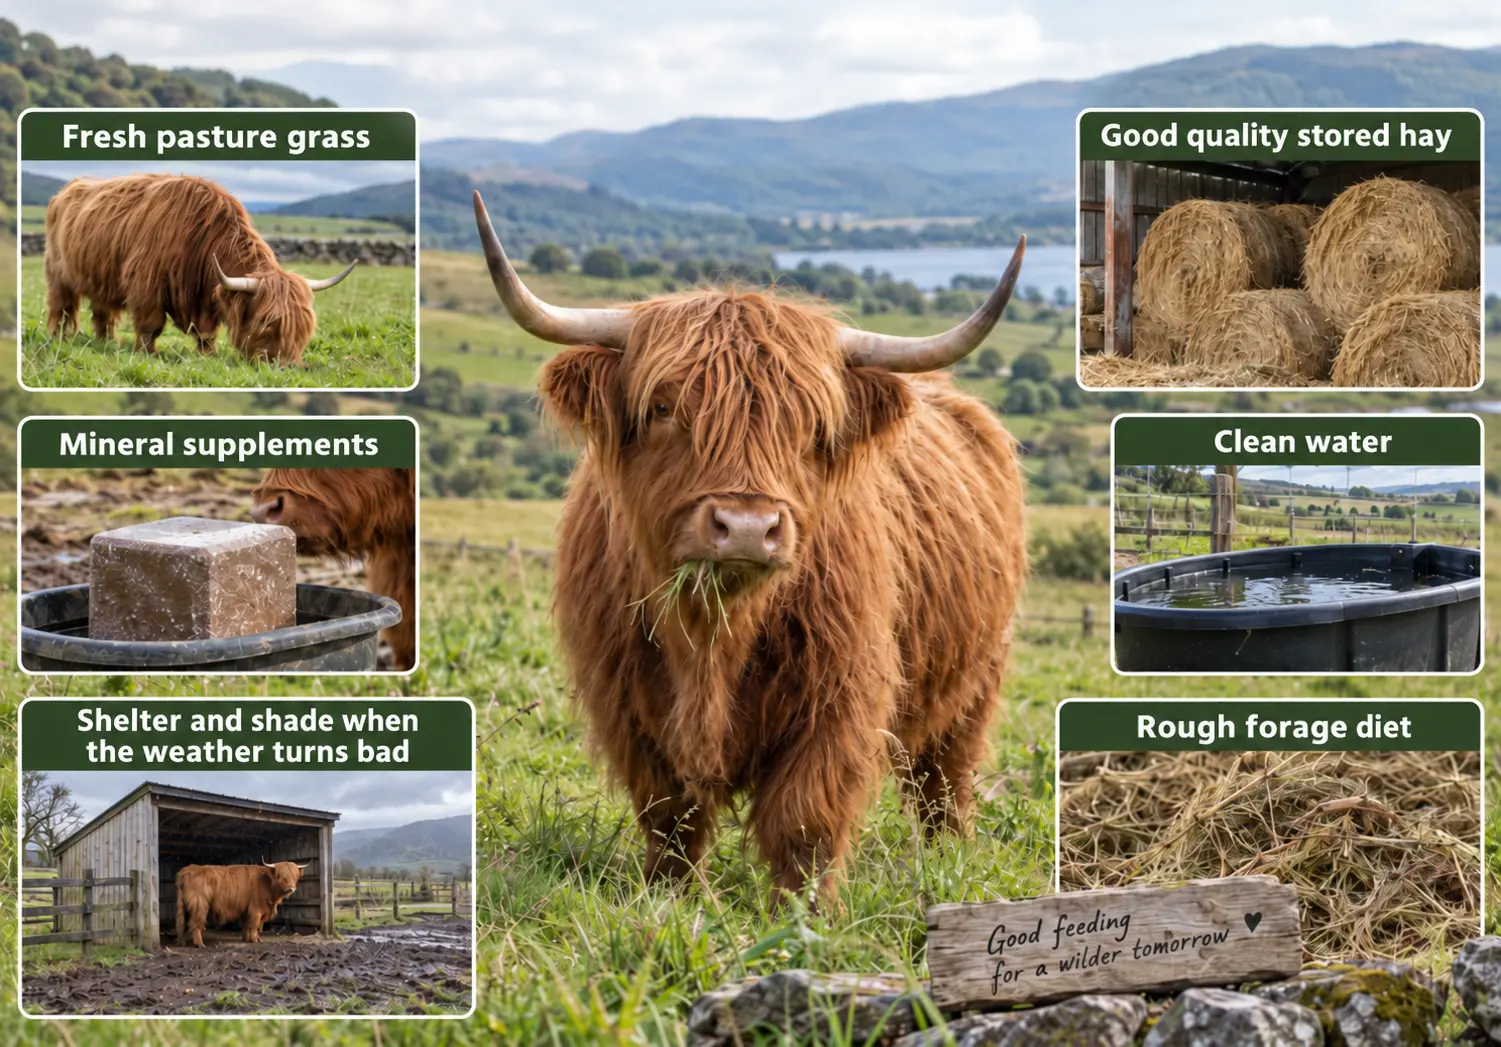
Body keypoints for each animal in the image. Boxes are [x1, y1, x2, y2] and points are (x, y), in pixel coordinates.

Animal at [44, 173, 358, 363]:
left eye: (304, 327)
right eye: (268, 323)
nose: (289, 366)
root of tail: (67, 188)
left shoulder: (205, 296)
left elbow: (206, 332)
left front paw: (208, 355)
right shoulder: (146, 283)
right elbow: (150, 325)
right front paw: (147, 353)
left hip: (100, 276)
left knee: (103, 313)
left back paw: (107, 341)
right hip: (59, 274)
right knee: (60, 307)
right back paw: (57, 337)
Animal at [175, 859, 309, 946]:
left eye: (295, 875)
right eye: (280, 875)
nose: (291, 888)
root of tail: (187, 869)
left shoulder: (245, 908)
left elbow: (246, 925)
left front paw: (247, 938)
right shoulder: (256, 909)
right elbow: (255, 925)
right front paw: (254, 940)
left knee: (182, 923)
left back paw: (182, 942)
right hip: (199, 904)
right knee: (195, 923)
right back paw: (199, 943)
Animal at [472, 191, 1027, 905]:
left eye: (813, 425)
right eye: (663, 407)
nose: (744, 525)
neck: (713, 635)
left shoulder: (839, 697)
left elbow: (804, 819)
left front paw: (804, 912)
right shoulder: (628, 702)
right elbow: (670, 815)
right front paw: (671, 897)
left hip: (975, 679)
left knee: (943, 783)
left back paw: (948, 861)